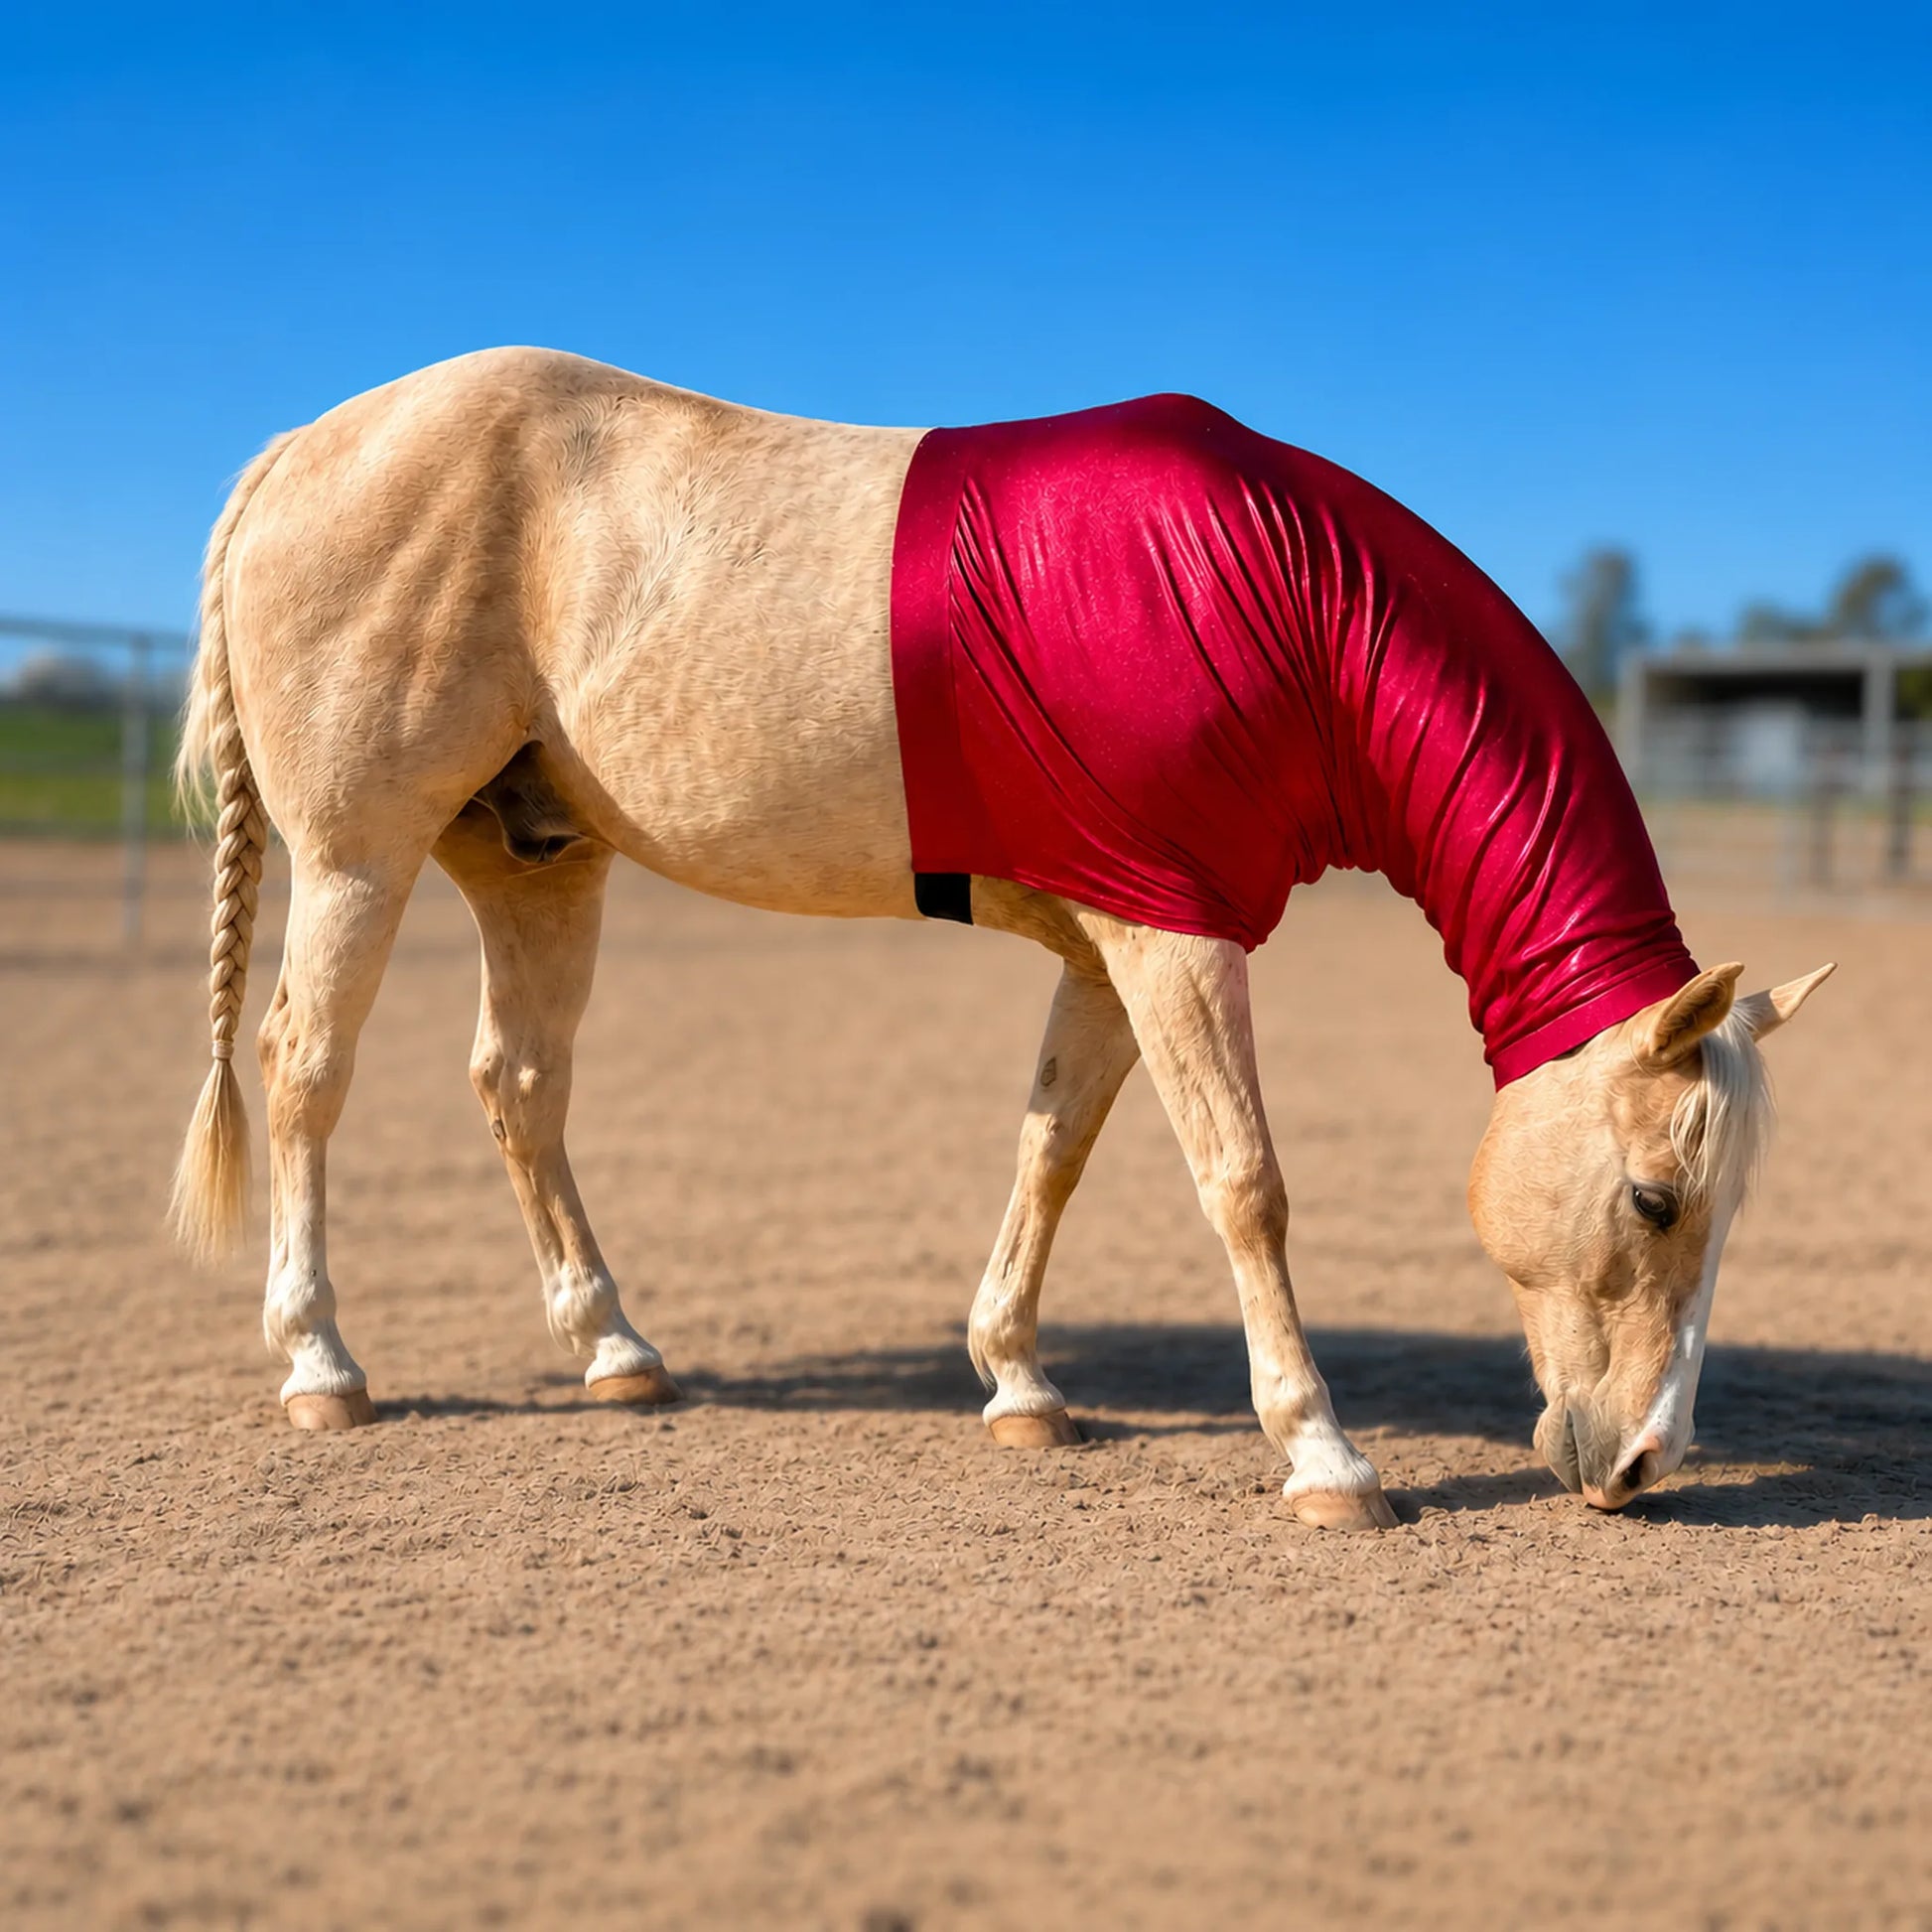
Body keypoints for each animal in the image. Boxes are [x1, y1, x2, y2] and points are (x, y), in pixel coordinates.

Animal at [170, 348, 1832, 1530]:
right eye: (1654, 1200)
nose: (1642, 1462)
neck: (1275, 603)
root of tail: (298, 449)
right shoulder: (1173, 940)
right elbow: (1243, 1183)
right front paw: (1322, 1453)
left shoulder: (1111, 946)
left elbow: (1052, 1145)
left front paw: (1019, 1379)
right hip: (358, 860)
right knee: (305, 1069)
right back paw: (321, 1363)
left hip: (537, 866)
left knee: (520, 1087)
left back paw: (614, 1350)